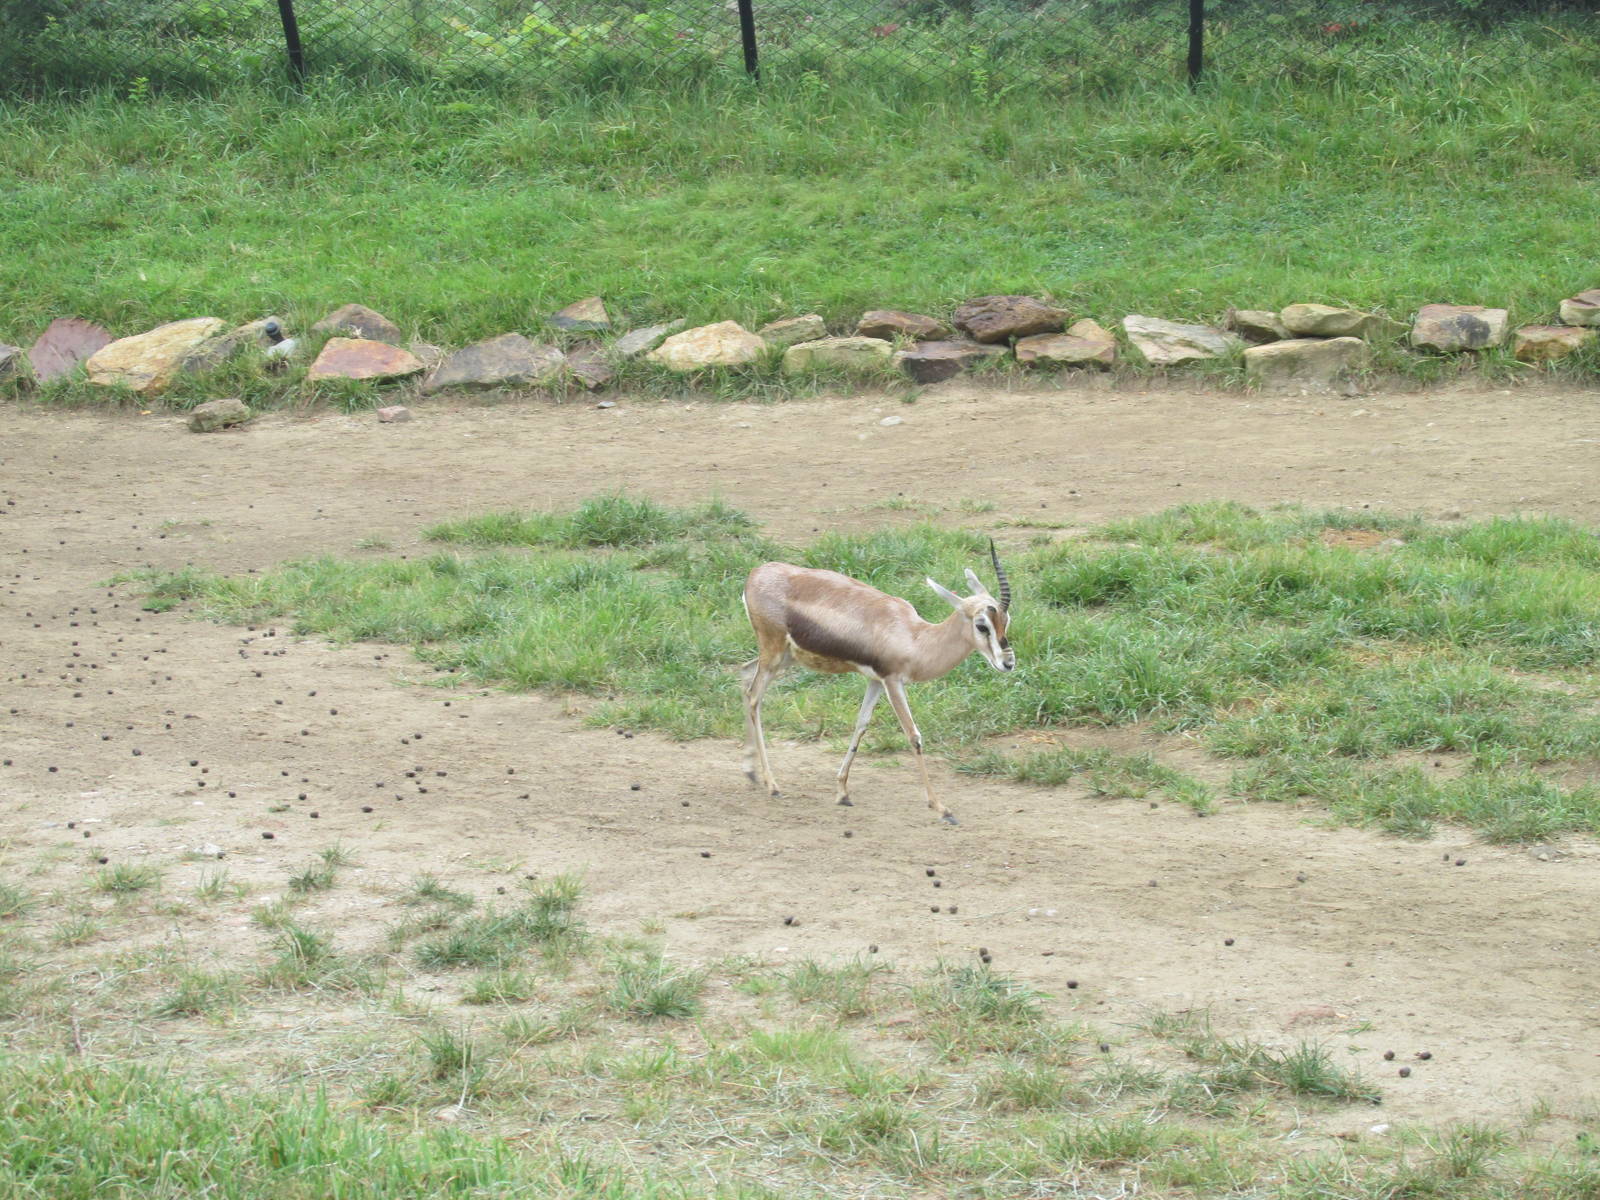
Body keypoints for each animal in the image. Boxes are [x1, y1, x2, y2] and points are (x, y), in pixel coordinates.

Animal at [740, 542, 1014, 825]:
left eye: (1006, 620)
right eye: (982, 626)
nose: (1008, 662)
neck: (915, 637)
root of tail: (756, 574)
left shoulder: (875, 680)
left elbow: (861, 724)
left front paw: (843, 792)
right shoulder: (892, 681)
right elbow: (914, 736)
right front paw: (942, 809)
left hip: (784, 658)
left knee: (745, 673)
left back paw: (750, 772)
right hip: (773, 652)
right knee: (754, 696)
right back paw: (772, 785)